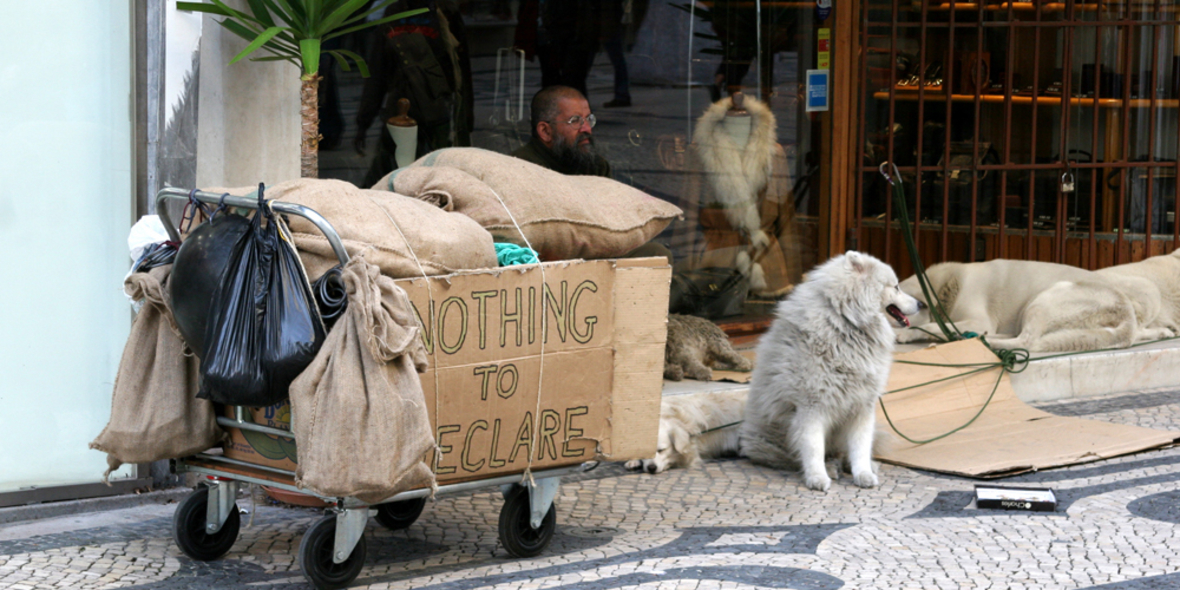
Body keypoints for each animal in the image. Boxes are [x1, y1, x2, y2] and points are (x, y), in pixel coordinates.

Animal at [736, 251, 920, 490]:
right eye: (896, 287)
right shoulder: (811, 407)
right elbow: (813, 447)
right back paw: (830, 468)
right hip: (770, 441)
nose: (921, 303)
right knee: (796, 457)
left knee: (845, 452)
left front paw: (863, 474)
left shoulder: (862, 406)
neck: (845, 323)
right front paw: (817, 478)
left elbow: (860, 447)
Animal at [892, 251, 1180, 351]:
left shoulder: (977, 319)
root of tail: (1126, 315)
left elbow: (927, 325)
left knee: (1026, 341)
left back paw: (978, 341)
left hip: (1045, 298)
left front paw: (906, 335)